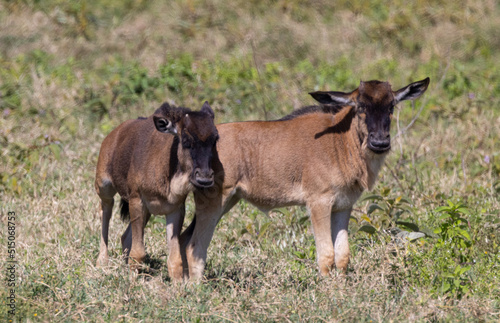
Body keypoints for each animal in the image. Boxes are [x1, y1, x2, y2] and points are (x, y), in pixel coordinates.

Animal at [94, 102, 218, 280]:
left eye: (215, 139)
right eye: (186, 139)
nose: (205, 178)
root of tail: (113, 135)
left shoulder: (174, 210)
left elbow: (175, 260)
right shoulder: (136, 200)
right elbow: (138, 253)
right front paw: (132, 281)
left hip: (146, 212)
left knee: (125, 237)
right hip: (104, 188)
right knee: (105, 212)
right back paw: (102, 262)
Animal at [180, 77, 430, 280]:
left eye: (391, 105)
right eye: (360, 106)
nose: (380, 142)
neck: (341, 142)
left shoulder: (343, 206)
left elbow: (342, 255)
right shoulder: (318, 202)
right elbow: (326, 255)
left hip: (227, 202)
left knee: (185, 239)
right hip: (214, 201)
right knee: (194, 247)